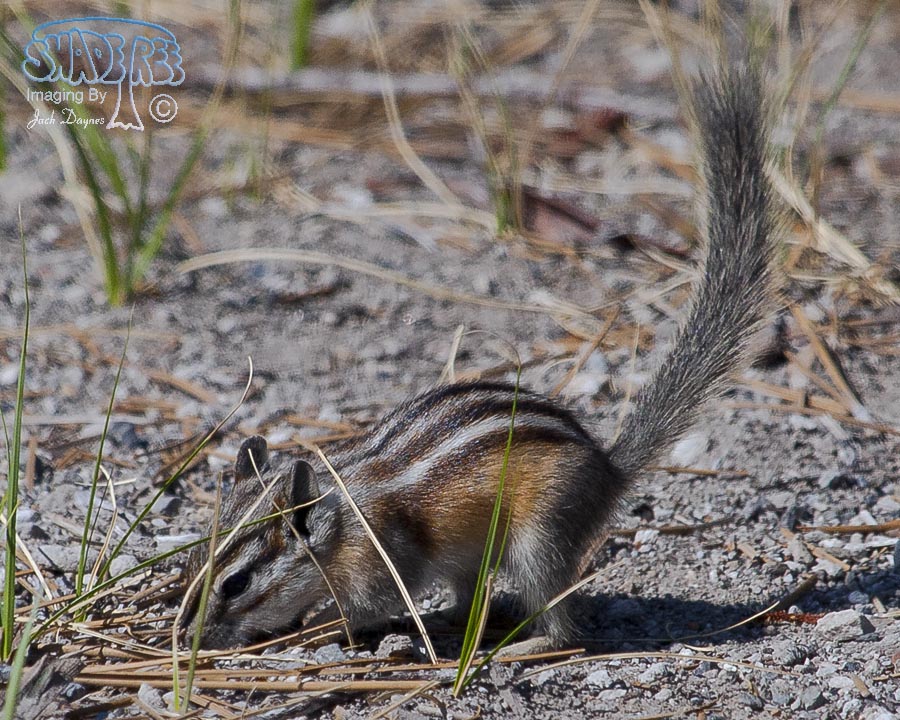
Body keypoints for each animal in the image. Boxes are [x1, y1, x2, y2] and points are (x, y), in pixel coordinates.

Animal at [183, 65, 778, 651]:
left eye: (236, 584)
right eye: (192, 560)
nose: (192, 638)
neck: (341, 518)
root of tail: (609, 470)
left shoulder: (380, 562)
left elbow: (367, 608)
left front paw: (307, 630)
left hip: (541, 537)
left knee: (563, 627)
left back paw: (522, 646)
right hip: (472, 556)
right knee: (472, 600)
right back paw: (452, 621)